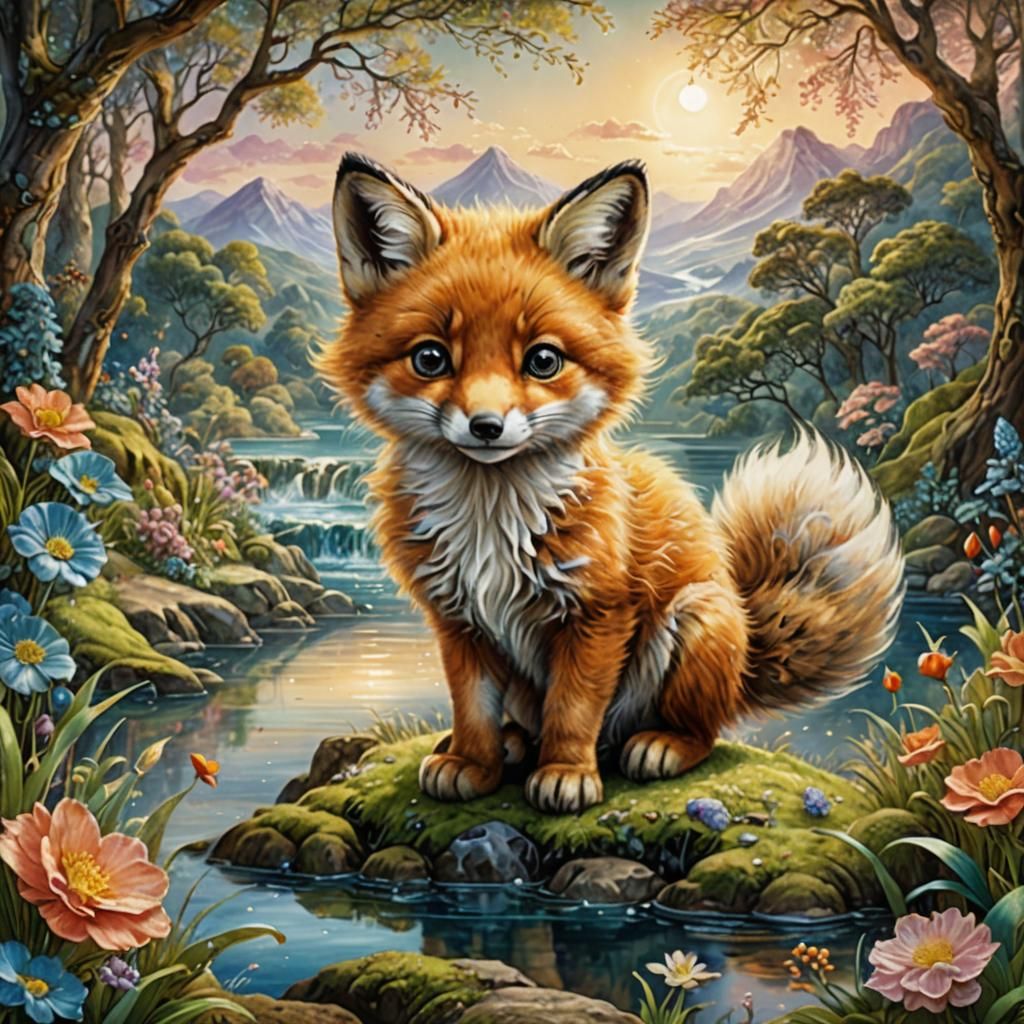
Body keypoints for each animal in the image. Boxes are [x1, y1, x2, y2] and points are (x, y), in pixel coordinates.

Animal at [319, 152, 905, 815]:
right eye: (430, 359)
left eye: (543, 360)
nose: (487, 426)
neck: (491, 521)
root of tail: (748, 653)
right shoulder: (458, 619)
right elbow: (472, 709)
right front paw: (473, 762)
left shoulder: (597, 613)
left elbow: (574, 709)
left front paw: (566, 773)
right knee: (529, 722)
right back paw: (514, 746)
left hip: (697, 622)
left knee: (697, 731)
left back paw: (659, 745)